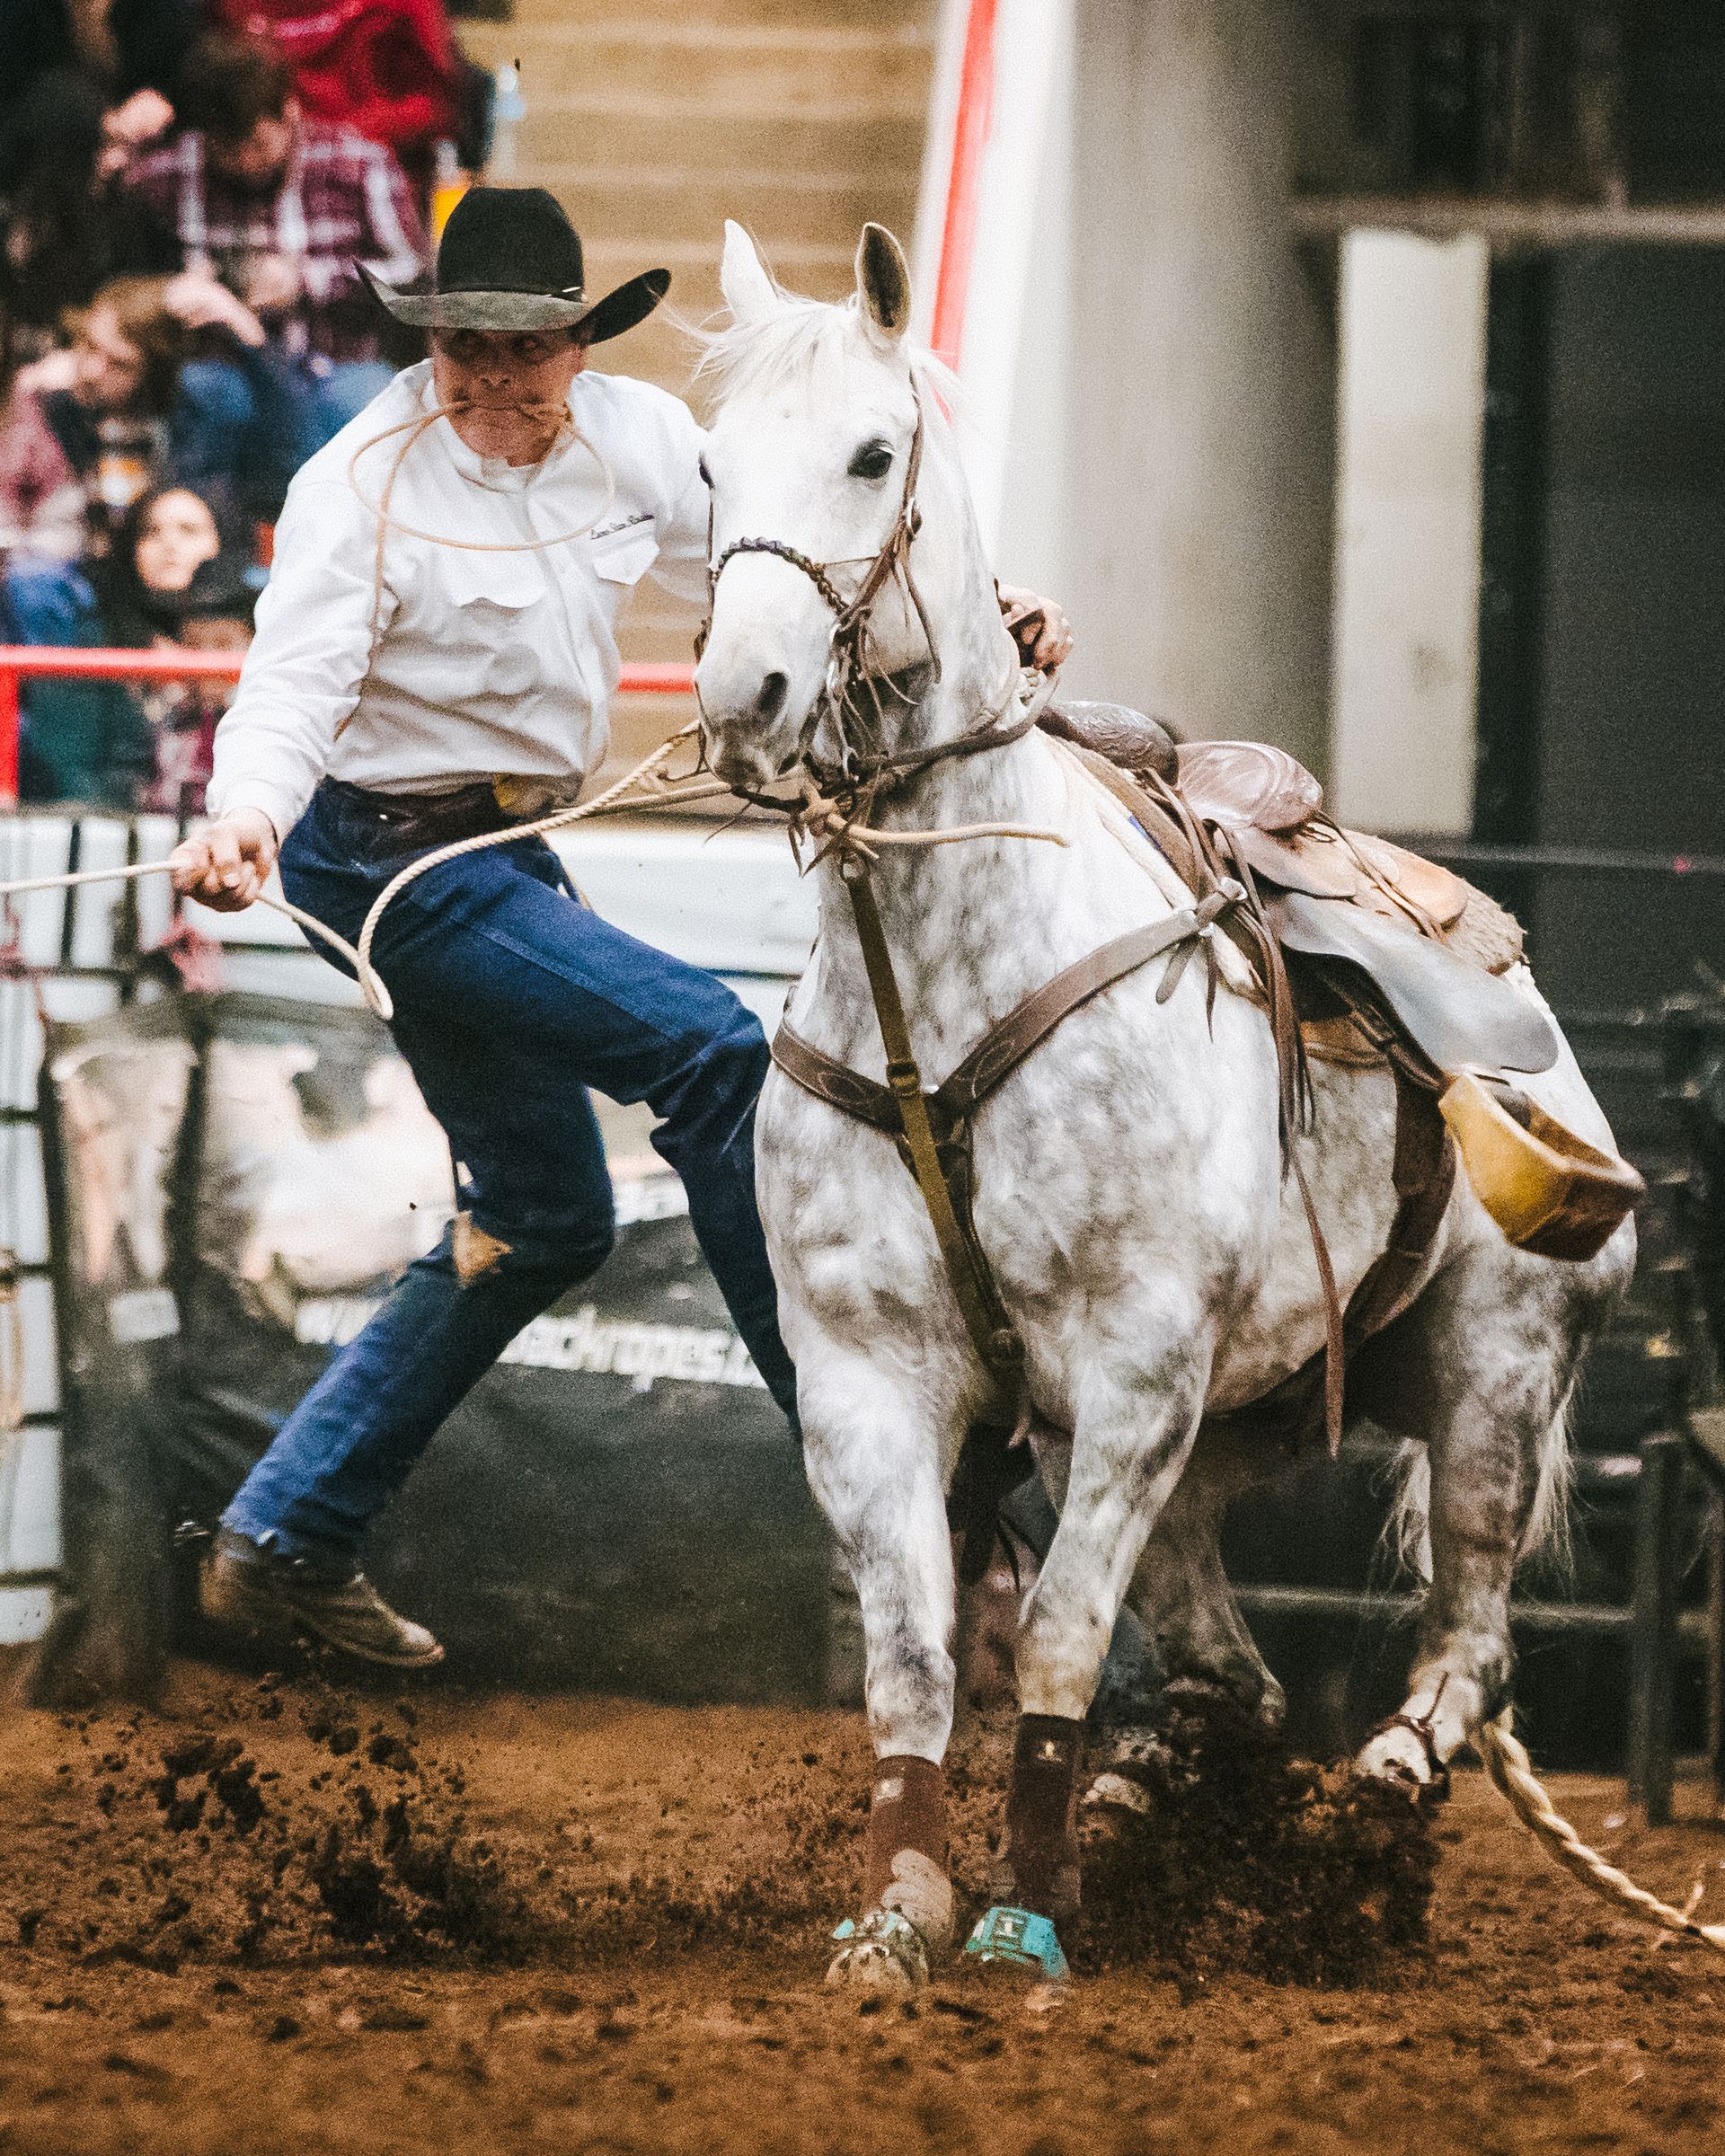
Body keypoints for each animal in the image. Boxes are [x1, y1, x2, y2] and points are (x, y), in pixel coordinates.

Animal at [694, 223, 1639, 1984]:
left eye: (871, 454)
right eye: (710, 464)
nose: (744, 693)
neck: (946, 1003)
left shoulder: (1135, 1369)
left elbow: (1061, 1634)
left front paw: (1021, 1919)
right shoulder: (870, 1378)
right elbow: (915, 1657)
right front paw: (900, 1909)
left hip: (1489, 1377)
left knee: (1469, 1647)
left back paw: (1371, 1800)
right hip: (1204, 1437)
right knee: (1233, 1681)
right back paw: (1163, 1800)